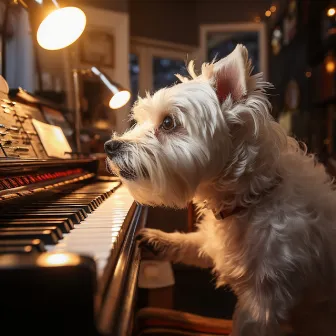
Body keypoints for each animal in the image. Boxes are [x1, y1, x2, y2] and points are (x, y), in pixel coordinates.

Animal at [104, 45, 336, 336]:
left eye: (168, 122)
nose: (109, 146)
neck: (249, 198)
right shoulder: (210, 243)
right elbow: (190, 243)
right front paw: (158, 238)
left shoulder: (263, 305)